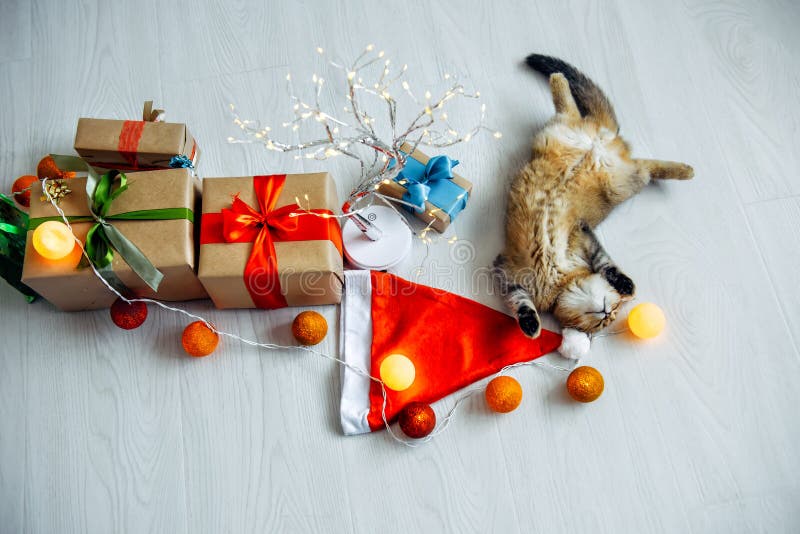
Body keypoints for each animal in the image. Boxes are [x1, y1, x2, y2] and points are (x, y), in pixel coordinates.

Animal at [496, 55, 692, 340]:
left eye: (609, 319)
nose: (608, 313)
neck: (556, 280)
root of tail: (603, 138)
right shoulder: (506, 272)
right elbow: (520, 301)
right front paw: (530, 323)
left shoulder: (583, 236)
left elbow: (606, 263)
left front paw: (625, 284)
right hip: (572, 142)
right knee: (569, 104)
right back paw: (558, 77)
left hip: (623, 179)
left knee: (647, 164)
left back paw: (685, 170)